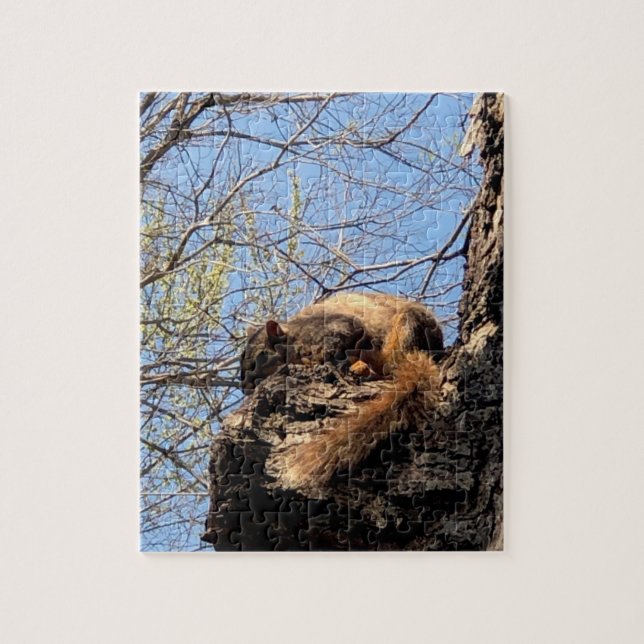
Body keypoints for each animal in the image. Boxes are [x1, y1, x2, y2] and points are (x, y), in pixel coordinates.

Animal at [240, 292, 444, 490]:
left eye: (261, 356)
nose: (245, 387)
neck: (294, 337)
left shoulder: (333, 328)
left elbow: (338, 346)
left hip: (407, 326)